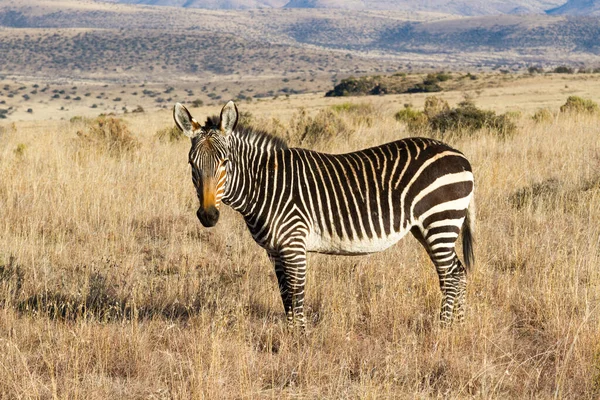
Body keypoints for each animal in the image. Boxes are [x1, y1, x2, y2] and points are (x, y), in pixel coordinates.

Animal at [172, 101, 474, 330]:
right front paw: (290, 337)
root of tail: (460, 155)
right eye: (192, 164)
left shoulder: (294, 243)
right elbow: (285, 294)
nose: (208, 216)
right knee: (458, 272)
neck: (265, 184)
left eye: (225, 162)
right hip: (426, 227)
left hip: (440, 221)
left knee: (451, 275)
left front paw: (300, 339)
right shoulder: (274, 250)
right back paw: (458, 326)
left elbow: (297, 293)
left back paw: (443, 328)